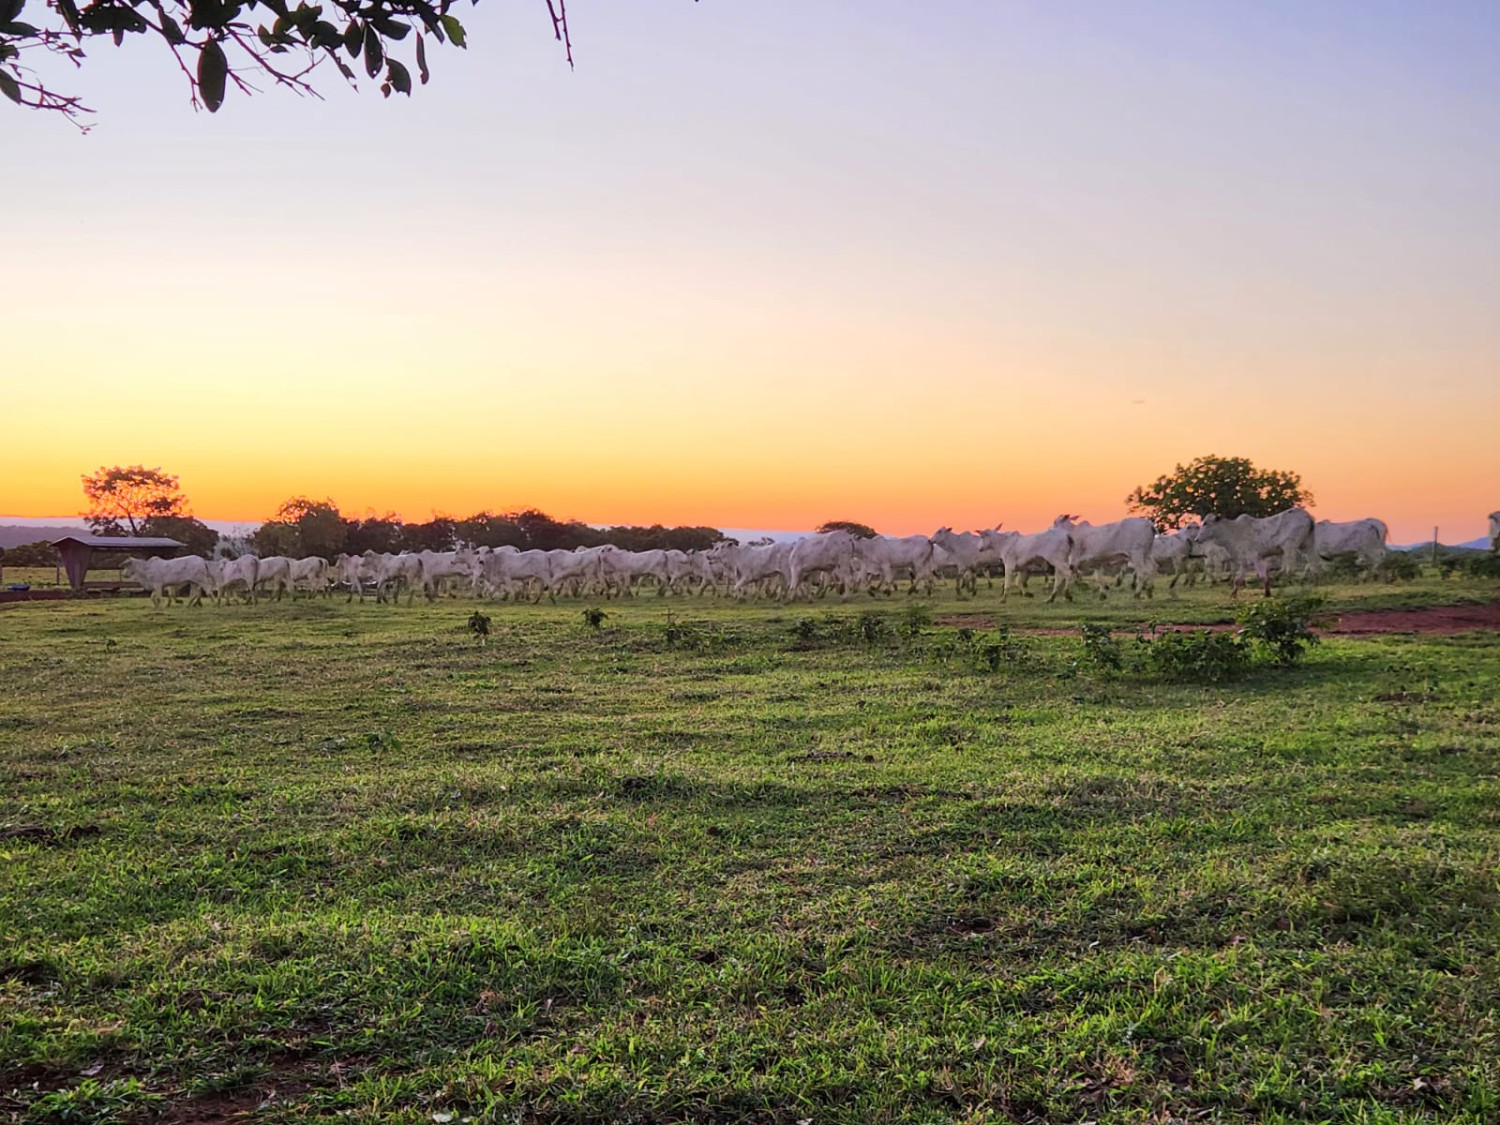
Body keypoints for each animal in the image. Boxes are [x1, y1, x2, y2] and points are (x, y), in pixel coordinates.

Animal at [1182, 510, 1314, 600]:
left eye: (1205, 523)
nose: (1197, 539)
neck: (1233, 531)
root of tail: (1307, 516)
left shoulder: (1253, 558)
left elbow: (1260, 577)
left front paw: (1266, 593)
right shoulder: (1246, 561)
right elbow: (1240, 579)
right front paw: (1234, 594)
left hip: (1289, 548)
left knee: (1289, 570)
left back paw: (1281, 587)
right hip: (1307, 546)